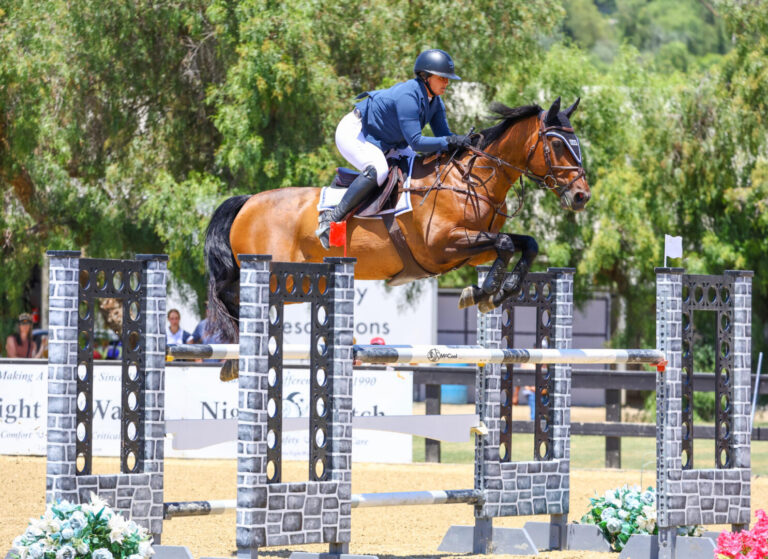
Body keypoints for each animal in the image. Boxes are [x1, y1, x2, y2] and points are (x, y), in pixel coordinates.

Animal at [202, 96, 588, 354]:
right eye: (557, 144)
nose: (581, 195)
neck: (472, 180)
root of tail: (248, 201)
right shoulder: (443, 246)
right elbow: (506, 244)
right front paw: (485, 293)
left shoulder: (471, 249)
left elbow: (524, 244)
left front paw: (495, 291)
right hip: (276, 271)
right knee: (228, 292)